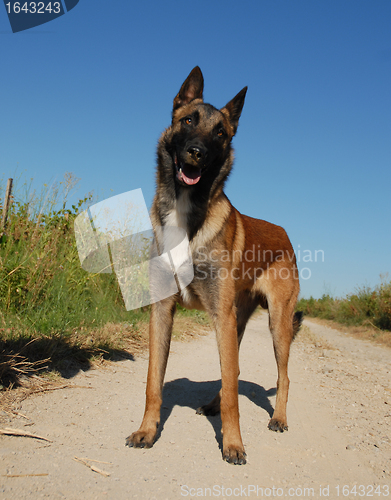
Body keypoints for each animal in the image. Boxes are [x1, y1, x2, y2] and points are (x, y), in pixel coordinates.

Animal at [126, 66, 304, 464]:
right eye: (188, 120)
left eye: (220, 133)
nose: (197, 152)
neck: (186, 210)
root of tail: (284, 234)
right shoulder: (162, 312)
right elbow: (152, 382)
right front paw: (147, 431)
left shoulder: (220, 316)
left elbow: (234, 399)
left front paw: (234, 443)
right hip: (236, 323)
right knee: (231, 376)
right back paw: (212, 403)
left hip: (276, 324)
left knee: (282, 376)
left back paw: (281, 418)